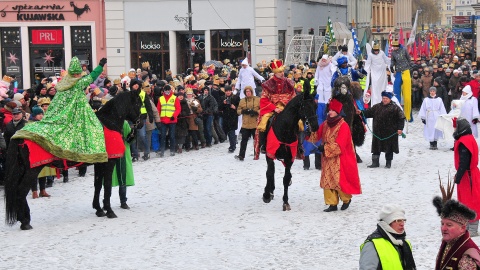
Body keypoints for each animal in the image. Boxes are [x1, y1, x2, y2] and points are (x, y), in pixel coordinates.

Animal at [4, 90, 142, 230]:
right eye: (138, 103)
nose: (140, 123)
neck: (109, 123)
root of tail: (18, 135)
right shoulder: (109, 163)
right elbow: (107, 186)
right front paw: (109, 211)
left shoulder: (99, 163)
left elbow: (97, 185)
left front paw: (98, 209)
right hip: (32, 170)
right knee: (21, 191)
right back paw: (25, 222)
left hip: (22, 169)